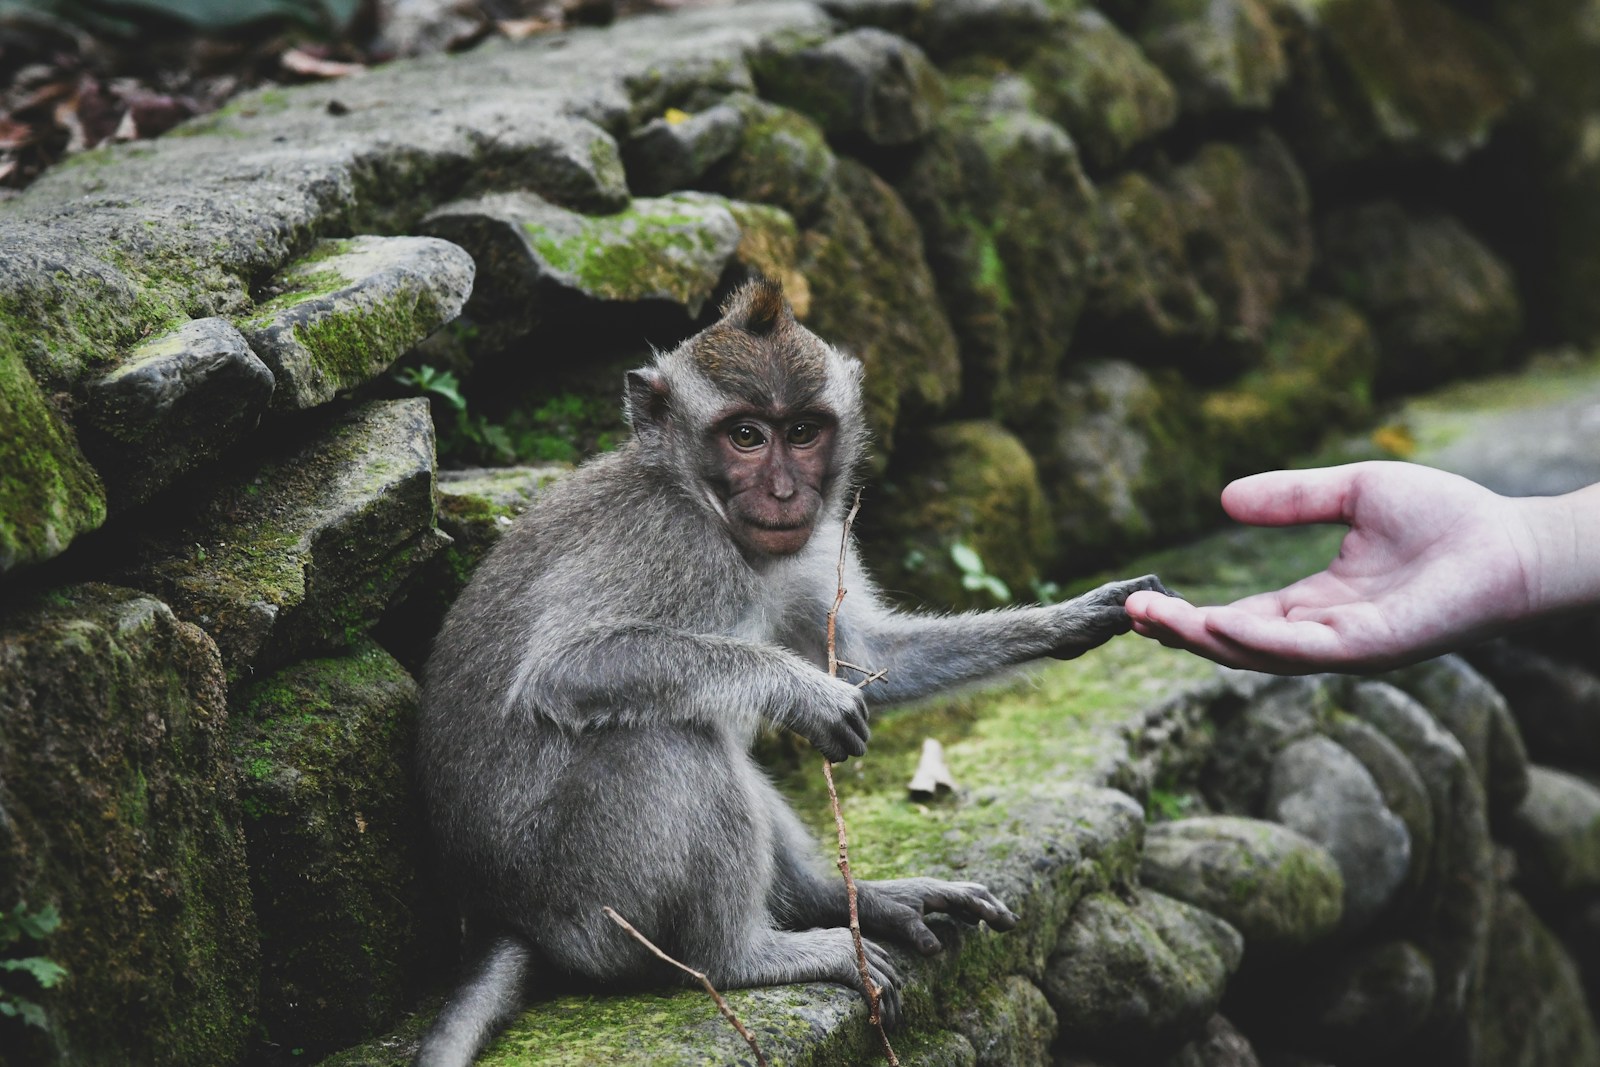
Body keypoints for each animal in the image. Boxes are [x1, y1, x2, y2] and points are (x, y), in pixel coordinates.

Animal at [412, 279, 1173, 1065]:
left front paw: (1075, 618)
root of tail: (507, 916)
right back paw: (741, 956)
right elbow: (565, 667)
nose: (783, 492)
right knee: (665, 735)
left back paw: (841, 900)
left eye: (803, 431)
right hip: (582, 897)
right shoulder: (671, 546)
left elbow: (875, 657)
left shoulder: (806, 546)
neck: (705, 507)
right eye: (746, 436)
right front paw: (803, 691)